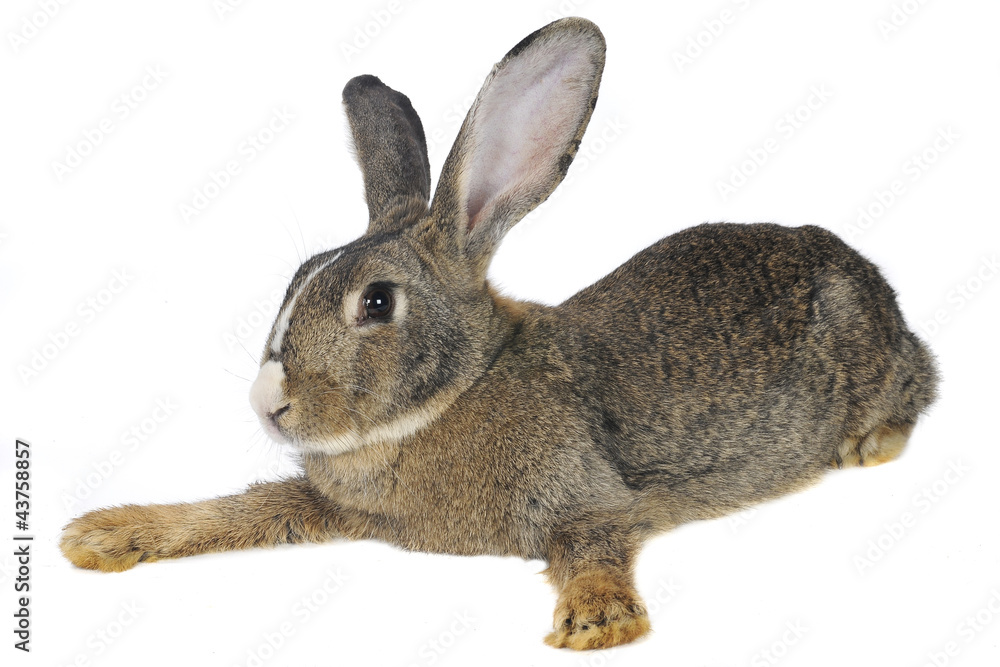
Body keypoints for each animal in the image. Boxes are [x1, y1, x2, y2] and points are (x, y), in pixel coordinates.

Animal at [60, 17, 939, 650]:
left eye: (376, 303)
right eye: (298, 276)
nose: (267, 402)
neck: (458, 390)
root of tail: (862, 272)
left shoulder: (593, 498)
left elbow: (593, 545)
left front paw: (596, 623)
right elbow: (239, 508)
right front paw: (100, 535)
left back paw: (869, 445)